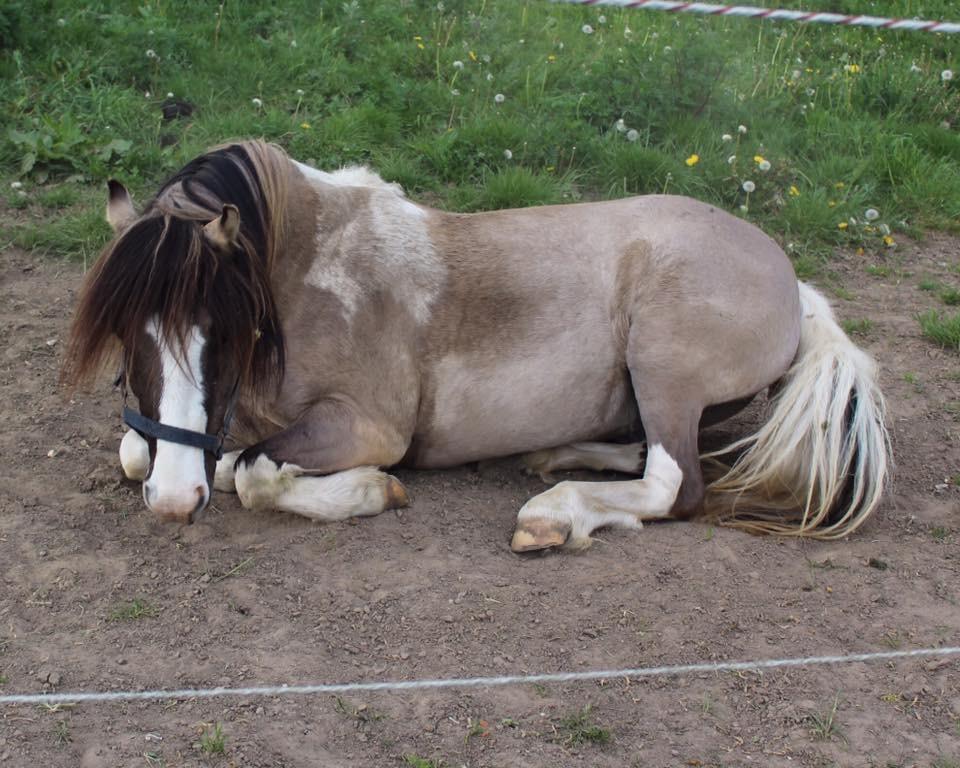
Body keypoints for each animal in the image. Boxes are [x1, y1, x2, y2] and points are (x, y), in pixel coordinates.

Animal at [60, 141, 888, 548]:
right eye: (128, 332)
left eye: (223, 331)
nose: (174, 503)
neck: (307, 270)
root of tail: (795, 286)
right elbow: (141, 449)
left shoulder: (368, 426)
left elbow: (251, 473)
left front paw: (375, 491)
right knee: (650, 452)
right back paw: (552, 456)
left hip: (664, 362)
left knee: (674, 485)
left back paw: (554, 513)